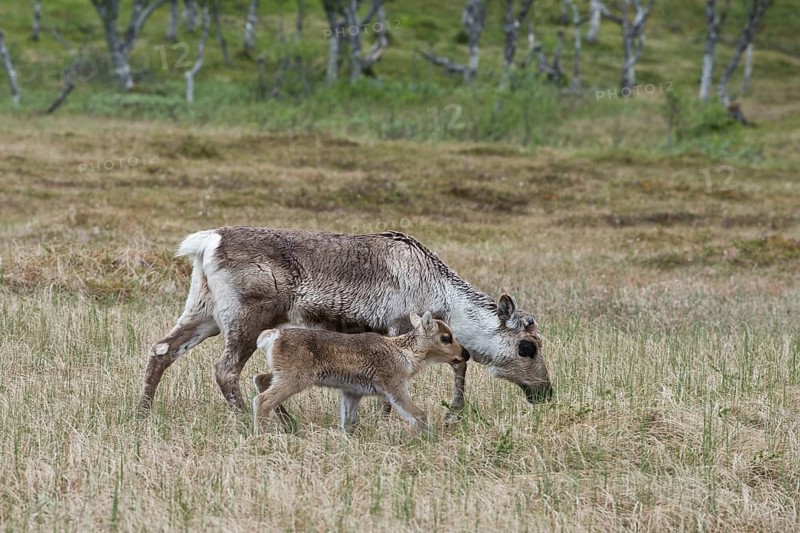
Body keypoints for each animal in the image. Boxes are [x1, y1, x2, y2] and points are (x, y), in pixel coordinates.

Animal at [139, 227, 551, 420]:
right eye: (526, 346)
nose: (546, 392)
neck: (444, 295)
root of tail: (207, 242)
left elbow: (458, 362)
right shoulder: (400, 325)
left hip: (203, 312)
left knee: (162, 349)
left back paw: (143, 410)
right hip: (247, 318)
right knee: (225, 369)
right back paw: (247, 418)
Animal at [251, 311, 470, 434]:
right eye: (446, 338)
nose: (465, 354)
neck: (403, 352)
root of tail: (275, 335)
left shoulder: (352, 393)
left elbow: (349, 423)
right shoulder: (396, 389)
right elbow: (419, 415)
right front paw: (432, 437)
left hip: (281, 375)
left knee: (260, 378)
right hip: (294, 379)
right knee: (262, 400)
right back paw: (261, 436)